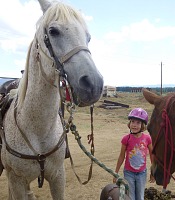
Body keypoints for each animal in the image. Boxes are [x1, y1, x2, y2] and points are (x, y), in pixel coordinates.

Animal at [0, 0, 103, 199]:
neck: (37, 130)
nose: (93, 84)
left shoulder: (57, 176)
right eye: (54, 31)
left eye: (88, 37)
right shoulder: (16, 180)